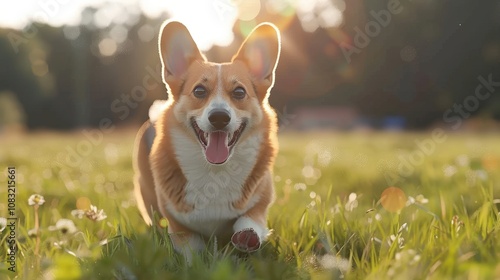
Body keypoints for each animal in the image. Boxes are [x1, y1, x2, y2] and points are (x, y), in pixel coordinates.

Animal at [134, 20, 282, 262]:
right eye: (199, 91)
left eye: (239, 92)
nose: (219, 117)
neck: (214, 171)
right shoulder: (177, 225)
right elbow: (191, 246)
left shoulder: (260, 203)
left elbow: (251, 218)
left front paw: (247, 235)